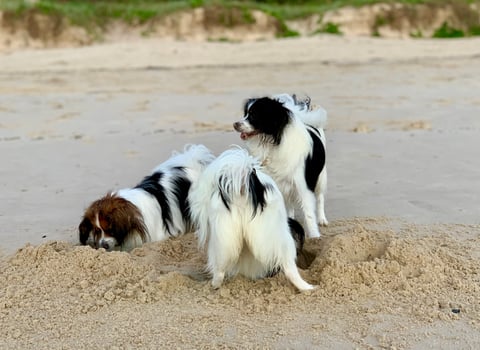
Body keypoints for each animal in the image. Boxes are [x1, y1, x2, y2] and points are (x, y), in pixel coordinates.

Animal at [233, 93, 330, 238]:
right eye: (245, 114)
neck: (271, 142)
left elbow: (309, 214)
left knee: (320, 198)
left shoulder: (304, 186)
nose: (235, 124)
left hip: (321, 178)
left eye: (254, 116)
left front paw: (314, 236)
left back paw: (322, 219)